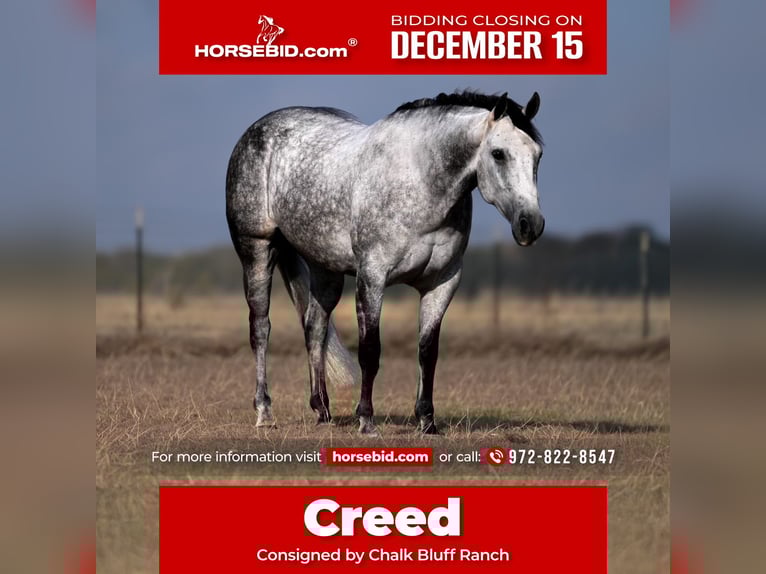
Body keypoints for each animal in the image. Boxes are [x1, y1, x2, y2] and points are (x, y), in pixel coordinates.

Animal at [226, 90, 545, 435]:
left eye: (538, 155)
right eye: (498, 154)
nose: (531, 225)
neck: (421, 181)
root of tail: (257, 129)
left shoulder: (442, 283)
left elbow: (427, 351)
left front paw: (427, 421)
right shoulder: (372, 277)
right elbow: (370, 350)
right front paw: (366, 420)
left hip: (325, 269)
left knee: (314, 328)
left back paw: (323, 411)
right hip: (257, 251)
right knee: (260, 328)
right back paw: (264, 412)